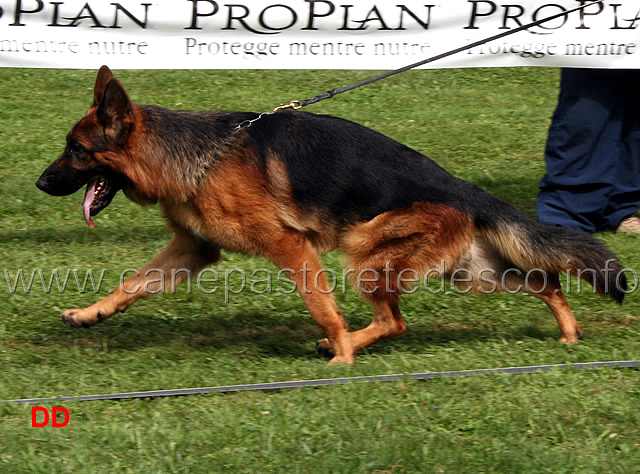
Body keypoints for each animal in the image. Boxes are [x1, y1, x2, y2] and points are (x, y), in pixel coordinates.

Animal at [36, 65, 624, 362]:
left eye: (75, 150)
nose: (40, 183)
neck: (191, 155)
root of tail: (464, 189)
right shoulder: (192, 248)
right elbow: (132, 284)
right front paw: (90, 314)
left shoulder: (289, 246)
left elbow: (321, 306)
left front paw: (341, 358)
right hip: (469, 271)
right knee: (544, 281)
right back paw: (569, 332)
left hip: (366, 255)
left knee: (394, 321)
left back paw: (341, 352)